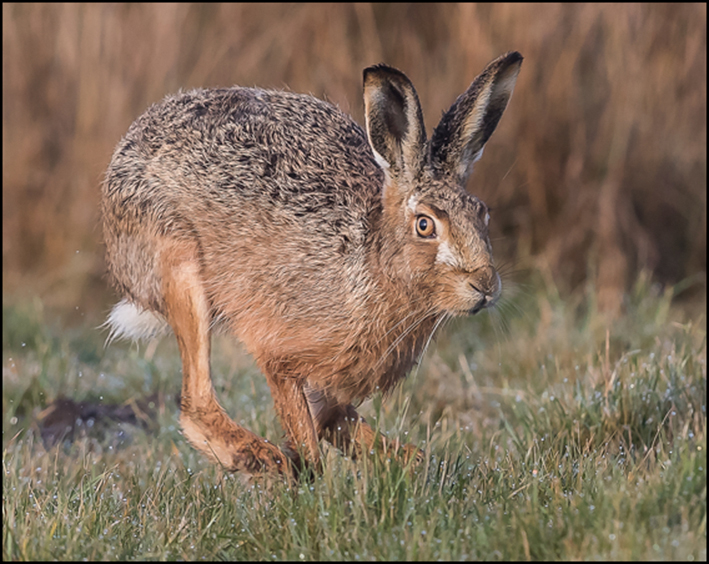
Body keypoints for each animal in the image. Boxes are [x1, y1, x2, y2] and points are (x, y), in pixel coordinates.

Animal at [101, 51, 522, 478]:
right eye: (425, 225)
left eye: (482, 213)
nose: (485, 285)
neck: (373, 263)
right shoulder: (280, 353)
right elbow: (306, 433)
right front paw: (305, 473)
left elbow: (331, 421)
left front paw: (416, 462)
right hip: (179, 264)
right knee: (195, 402)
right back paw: (262, 458)